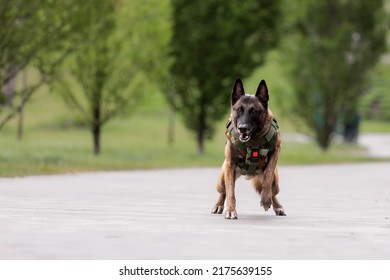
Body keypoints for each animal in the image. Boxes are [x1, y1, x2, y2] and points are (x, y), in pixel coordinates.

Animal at [212, 77, 284, 220]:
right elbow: (230, 191)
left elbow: (268, 176)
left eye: (254, 111)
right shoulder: (230, 165)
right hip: (221, 180)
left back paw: (277, 205)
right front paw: (230, 210)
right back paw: (219, 205)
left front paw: (266, 200)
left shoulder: (276, 151)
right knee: (223, 191)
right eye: (238, 110)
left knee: (273, 192)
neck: (253, 139)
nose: (242, 128)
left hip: (276, 183)